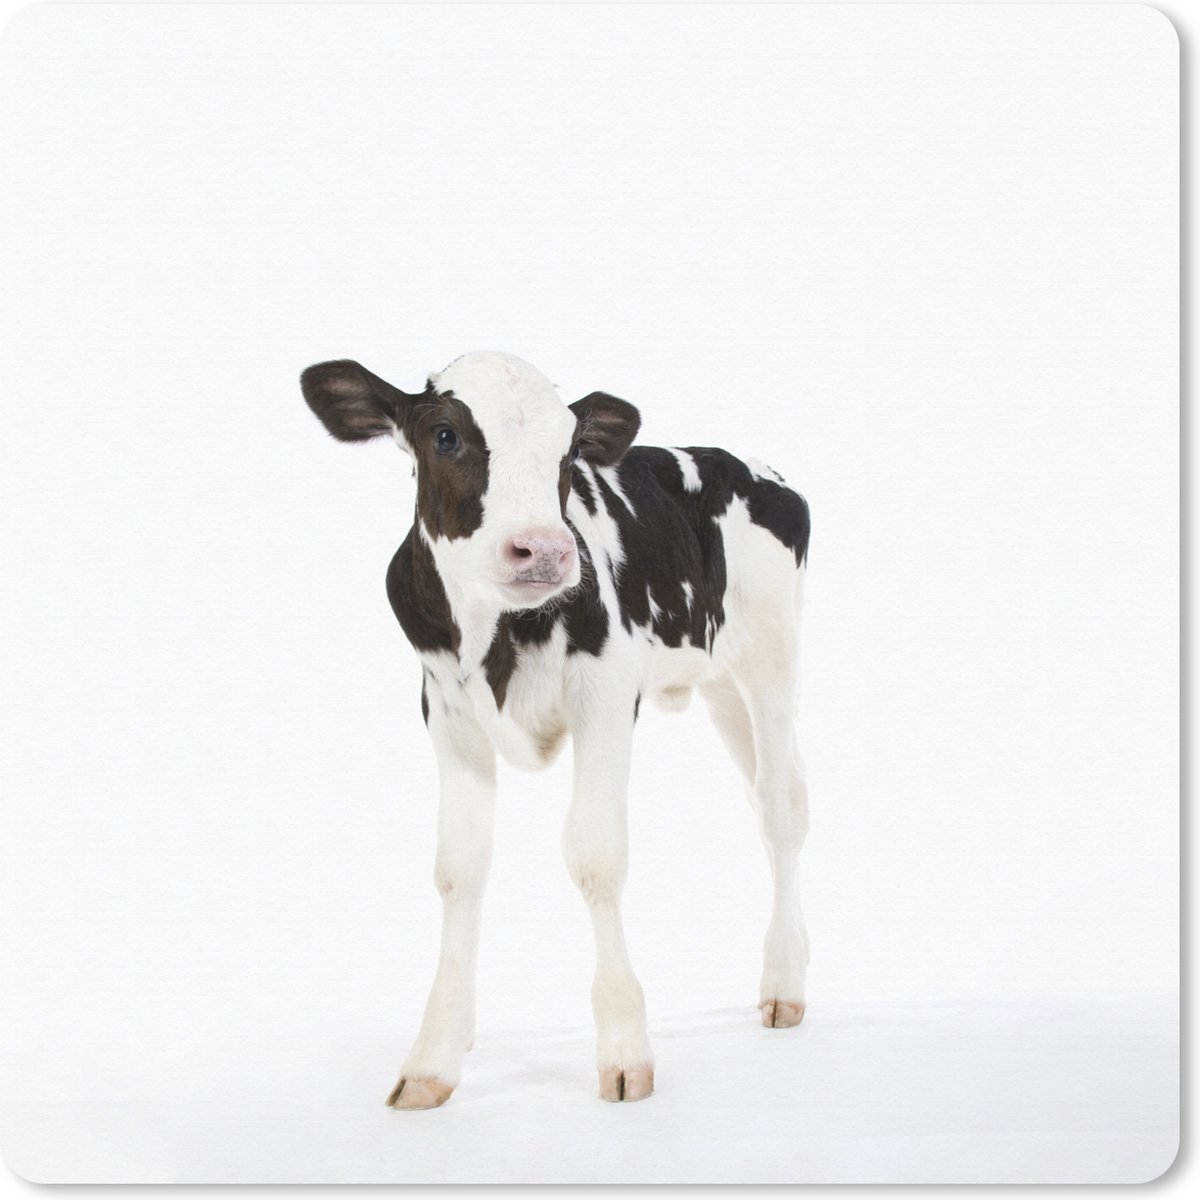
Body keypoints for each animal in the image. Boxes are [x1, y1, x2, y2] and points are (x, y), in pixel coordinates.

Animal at [301, 351, 812, 1108]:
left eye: (568, 451)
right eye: (445, 435)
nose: (543, 549)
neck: (493, 632)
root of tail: (745, 463)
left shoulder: (607, 694)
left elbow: (596, 857)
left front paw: (625, 1048)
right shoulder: (445, 711)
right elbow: (459, 869)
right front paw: (438, 1052)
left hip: (771, 654)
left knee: (781, 806)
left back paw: (785, 984)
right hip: (720, 683)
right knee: (762, 795)